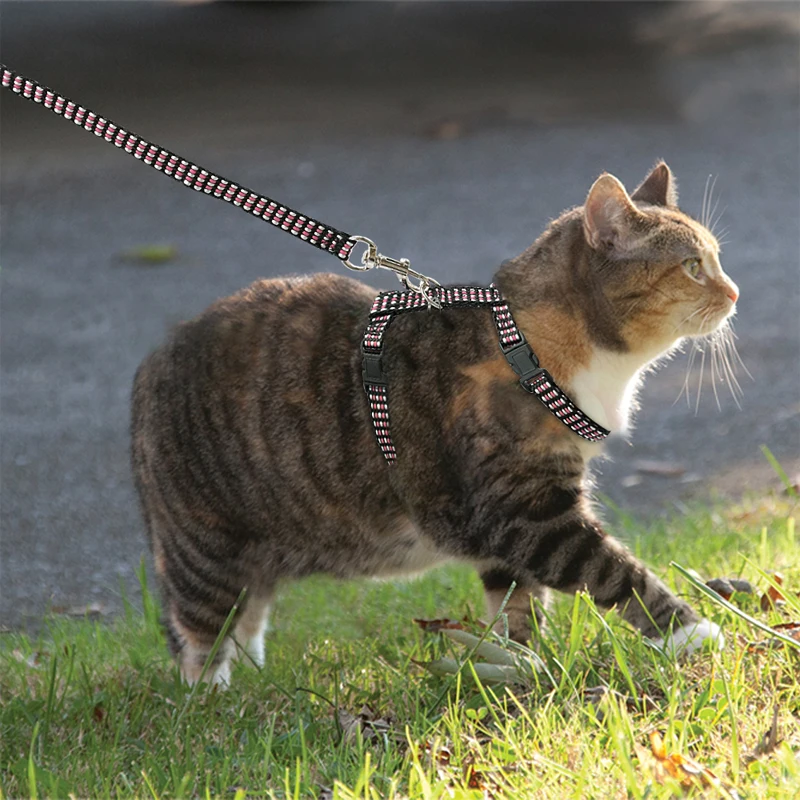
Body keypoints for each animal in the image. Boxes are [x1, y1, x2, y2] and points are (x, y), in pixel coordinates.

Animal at [131, 164, 736, 688]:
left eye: (716, 259)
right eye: (692, 266)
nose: (733, 293)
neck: (527, 343)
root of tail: (152, 362)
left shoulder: (505, 527)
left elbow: (517, 602)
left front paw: (525, 661)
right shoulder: (528, 512)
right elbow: (615, 571)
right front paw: (691, 633)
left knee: (248, 609)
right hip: (204, 546)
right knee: (197, 632)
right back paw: (216, 697)